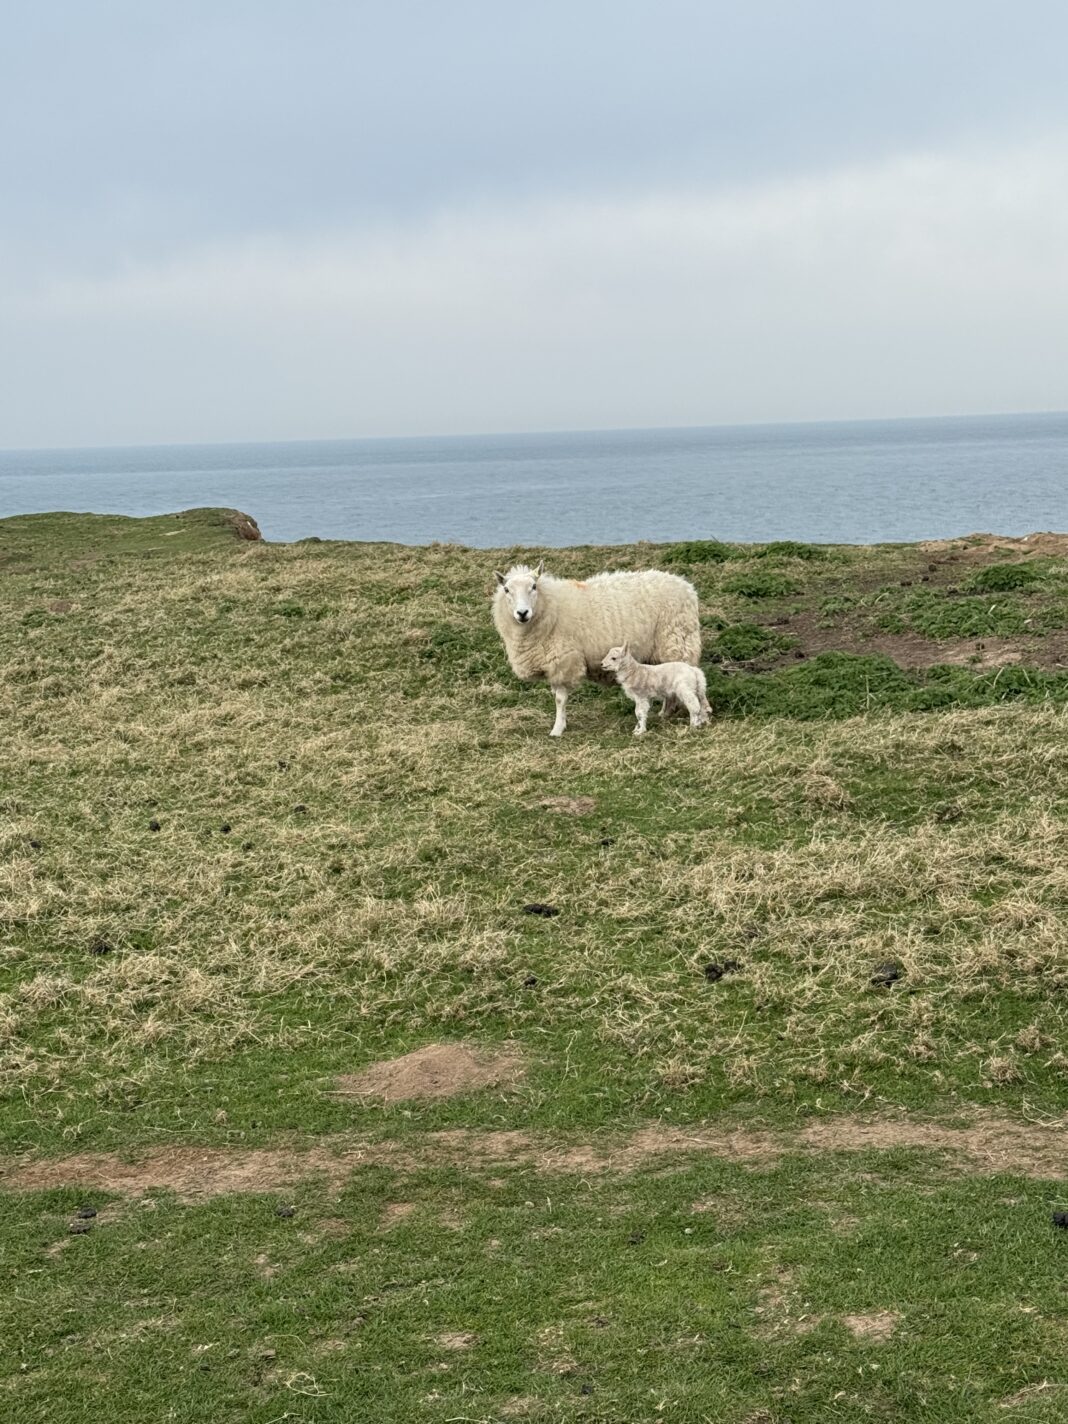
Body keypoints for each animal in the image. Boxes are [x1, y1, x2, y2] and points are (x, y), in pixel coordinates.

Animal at [492, 560, 701, 736]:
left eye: (534, 587)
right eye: (506, 590)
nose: (522, 613)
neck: (550, 606)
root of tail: (686, 586)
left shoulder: (564, 661)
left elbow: (560, 699)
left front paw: (557, 729)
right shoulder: (554, 664)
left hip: (676, 641)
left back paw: (670, 711)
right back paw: (666, 712)